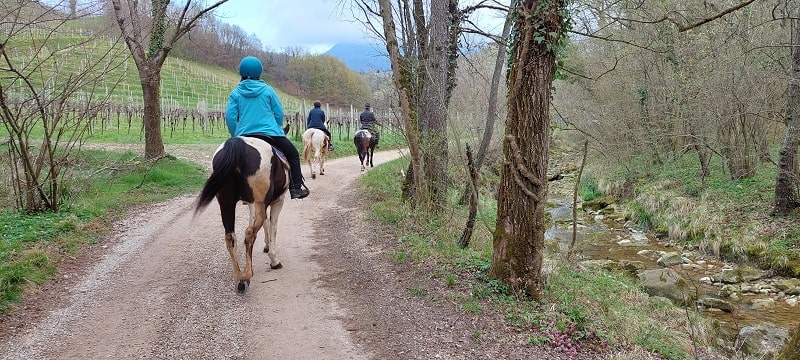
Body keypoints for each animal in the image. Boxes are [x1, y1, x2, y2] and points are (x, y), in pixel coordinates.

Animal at [193, 136, 288, 294]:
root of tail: (237, 144)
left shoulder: (251, 204)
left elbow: (265, 223)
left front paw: (266, 246)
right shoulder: (277, 201)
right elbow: (273, 226)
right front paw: (273, 259)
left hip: (226, 203)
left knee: (230, 237)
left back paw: (238, 277)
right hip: (258, 201)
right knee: (250, 233)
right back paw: (246, 277)